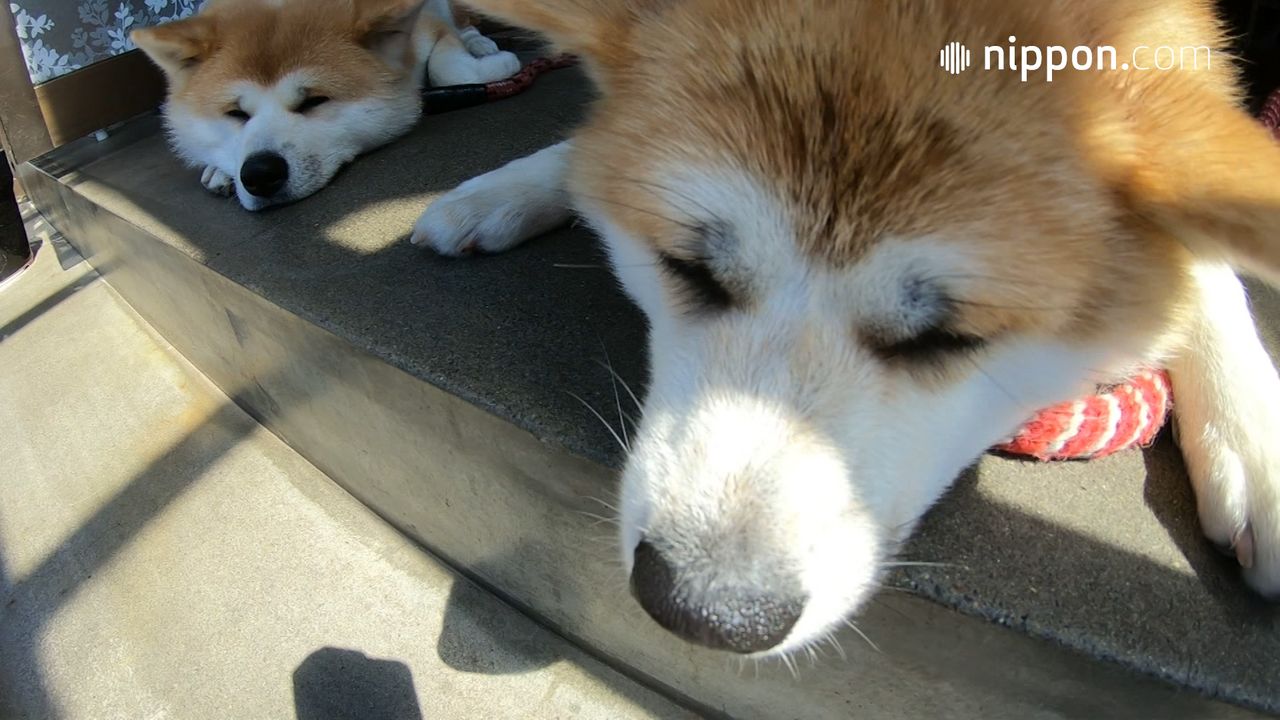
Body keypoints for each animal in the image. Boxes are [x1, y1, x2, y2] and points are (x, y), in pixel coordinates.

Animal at [136, 0, 519, 210]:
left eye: (314, 101)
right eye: (236, 113)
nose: (259, 174)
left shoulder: (429, 28)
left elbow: (448, 68)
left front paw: (496, 68)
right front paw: (217, 169)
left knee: (465, 23)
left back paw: (482, 44)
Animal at [407, 0, 1280, 655]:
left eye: (950, 340)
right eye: (687, 269)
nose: (708, 609)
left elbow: (1206, 266)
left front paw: (1251, 433)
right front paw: (515, 186)